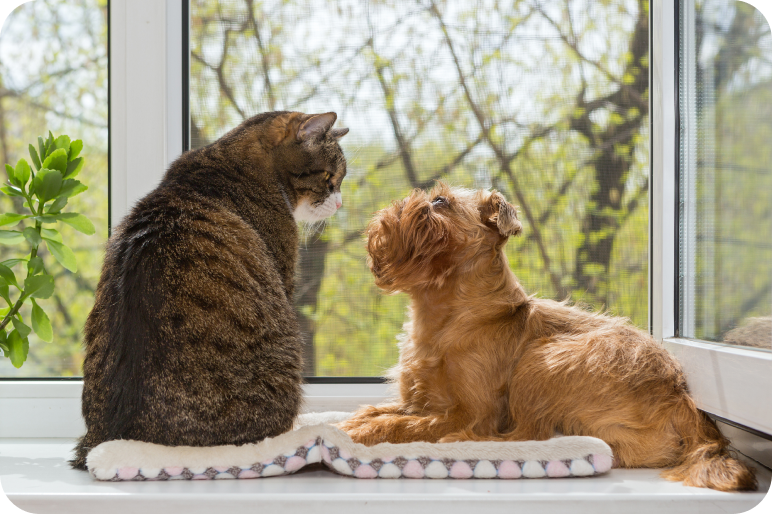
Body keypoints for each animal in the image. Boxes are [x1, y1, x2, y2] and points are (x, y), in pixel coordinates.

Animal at [340, 182, 760, 490]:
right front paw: (352, 422)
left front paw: (363, 432)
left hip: (541, 360)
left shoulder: (472, 413)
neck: (440, 315)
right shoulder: (418, 400)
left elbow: (404, 424)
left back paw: (463, 444)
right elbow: (377, 410)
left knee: (529, 436)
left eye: (440, 202)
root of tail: (683, 398)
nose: (402, 205)